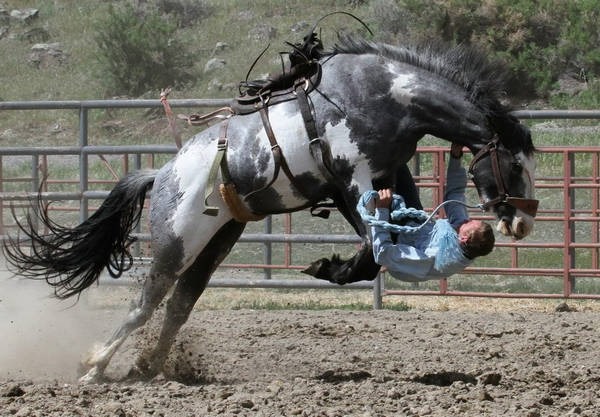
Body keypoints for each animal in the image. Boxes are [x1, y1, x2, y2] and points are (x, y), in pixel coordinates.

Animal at [3, 37, 540, 382]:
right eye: (515, 163)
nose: (524, 220)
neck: (386, 96)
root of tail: (163, 173)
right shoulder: (354, 180)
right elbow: (373, 249)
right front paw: (328, 265)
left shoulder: (386, 177)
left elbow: (375, 249)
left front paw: (330, 266)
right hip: (177, 240)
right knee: (148, 300)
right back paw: (94, 366)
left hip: (218, 240)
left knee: (179, 304)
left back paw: (147, 367)